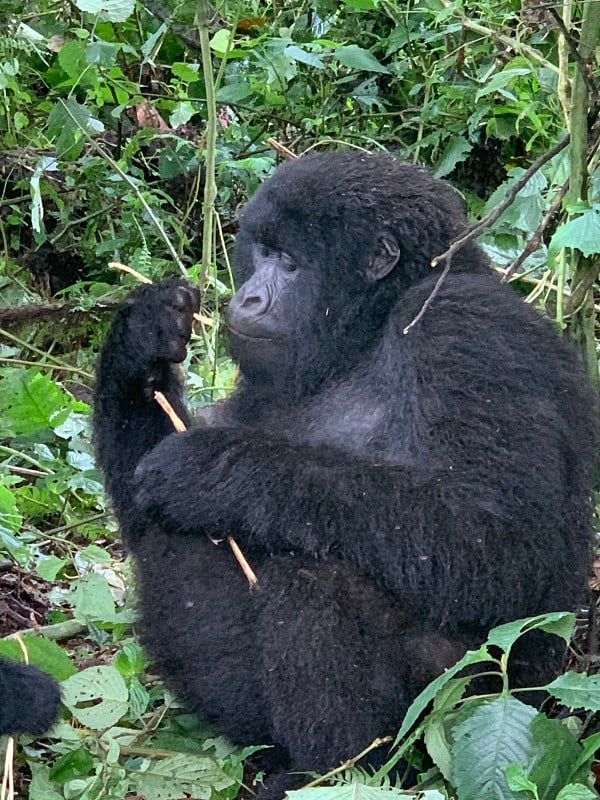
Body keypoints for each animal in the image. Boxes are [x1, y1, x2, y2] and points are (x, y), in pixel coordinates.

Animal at [94, 148, 596, 792]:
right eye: (261, 251)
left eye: (291, 263)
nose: (247, 299)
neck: (369, 328)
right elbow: (143, 509)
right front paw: (140, 341)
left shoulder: (464, 327)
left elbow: (495, 539)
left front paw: (214, 470)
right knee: (176, 540)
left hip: (469, 701)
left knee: (312, 581)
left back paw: (335, 774)